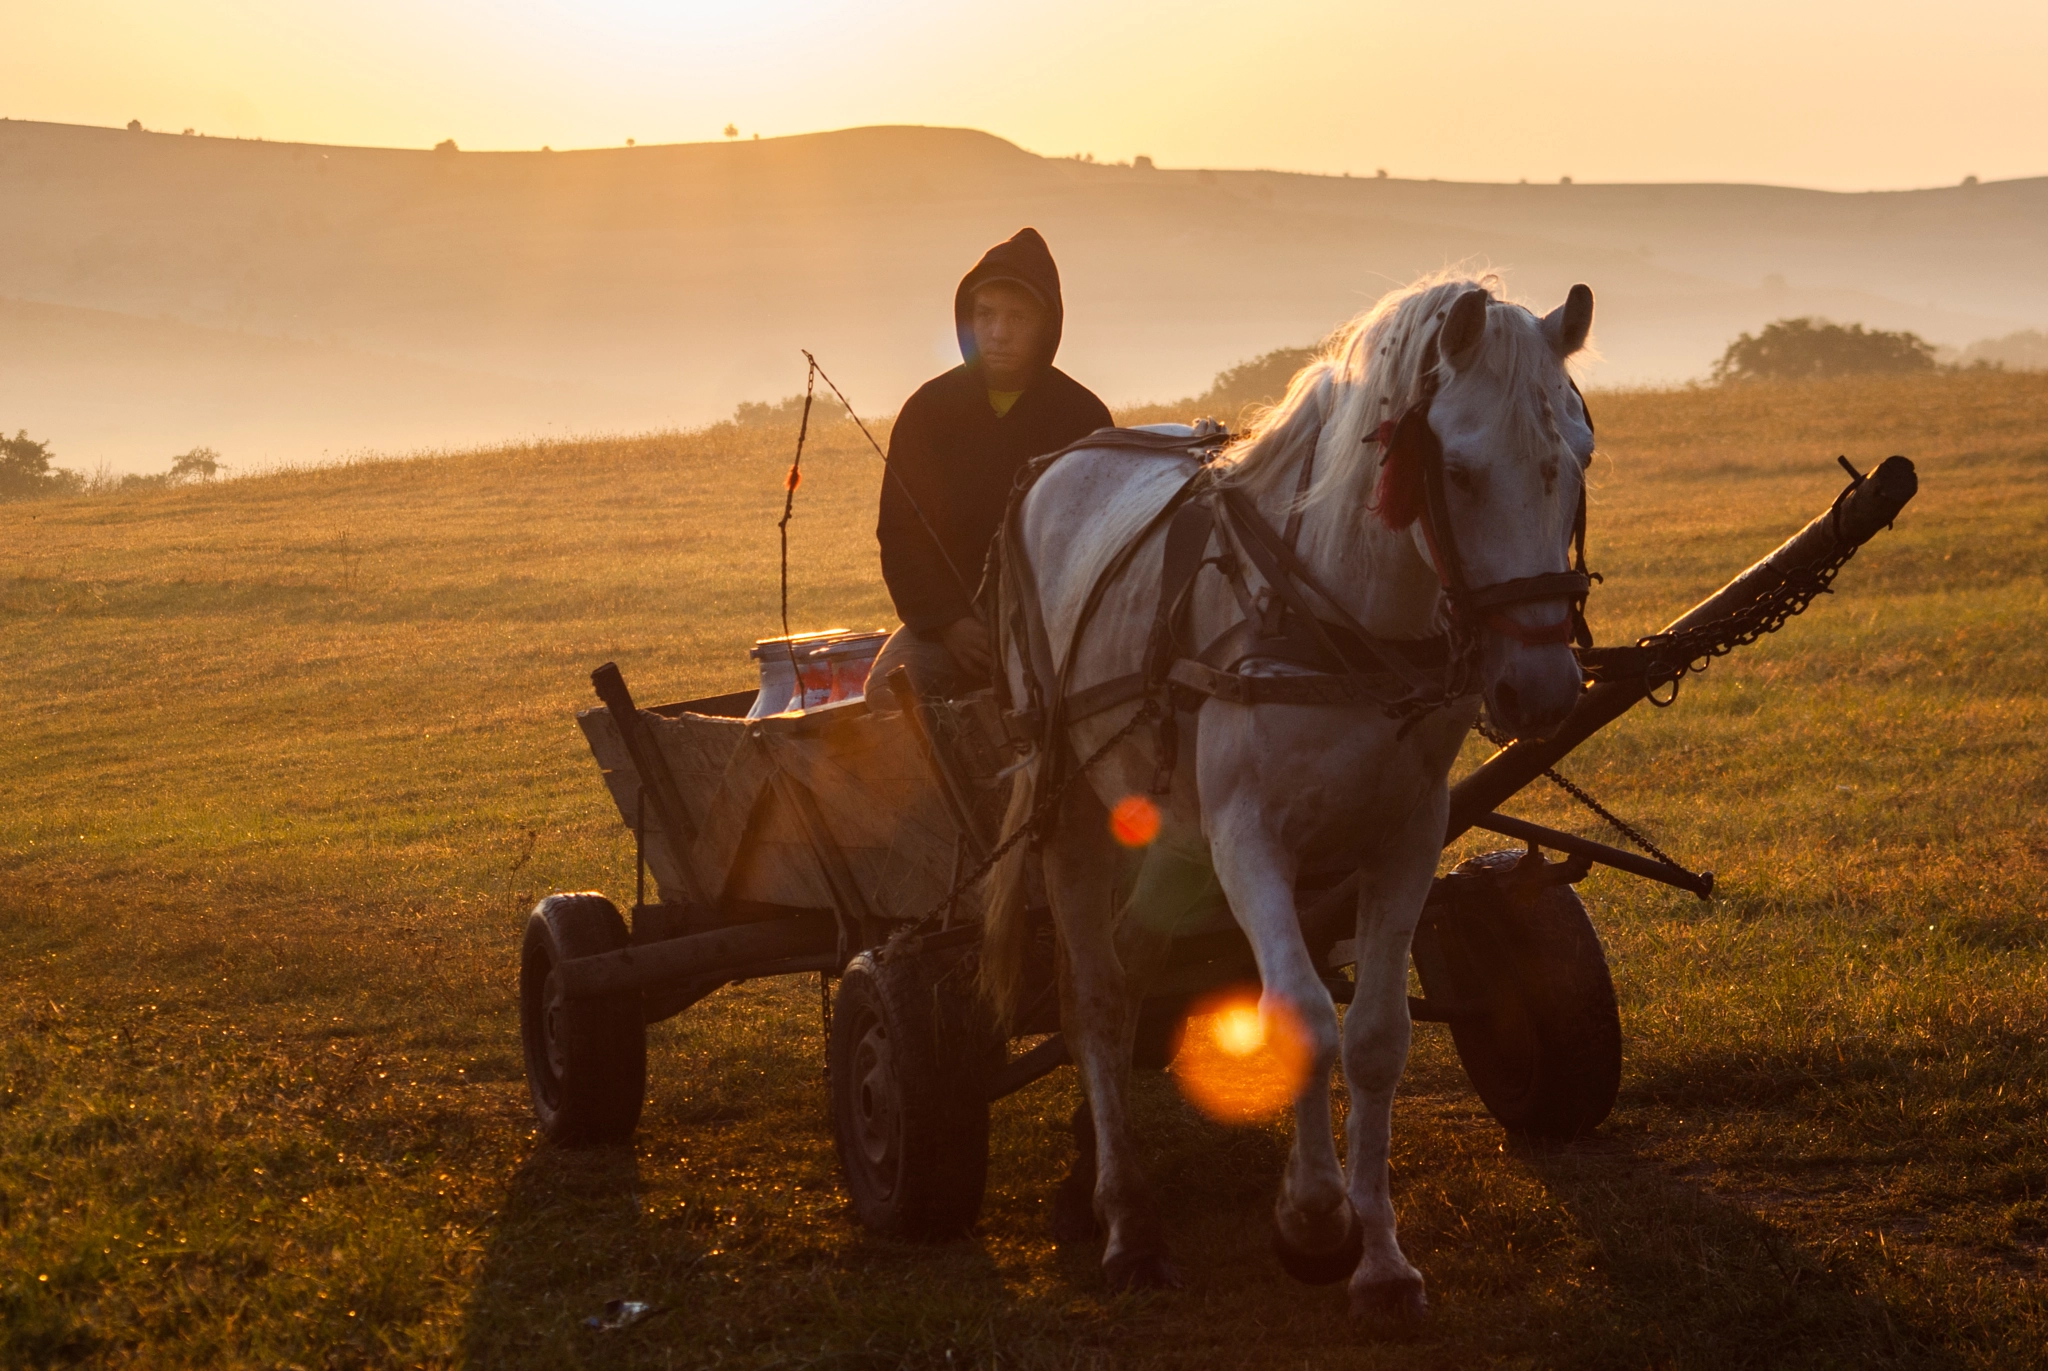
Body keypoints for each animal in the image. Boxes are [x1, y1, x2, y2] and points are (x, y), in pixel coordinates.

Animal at [978, 272, 1597, 1311]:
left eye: (1579, 459)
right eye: (1459, 469)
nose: (1543, 689)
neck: (1342, 619)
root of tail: (1057, 463)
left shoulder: (1406, 836)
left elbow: (1376, 1033)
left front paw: (1381, 1257)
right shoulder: (1248, 840)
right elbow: (1302, 1013)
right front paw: (1312, 1222)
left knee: (1135, 964)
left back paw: (1091, 1171)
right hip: (1075, 810)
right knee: (1094, 997)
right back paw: (1127, 1221)